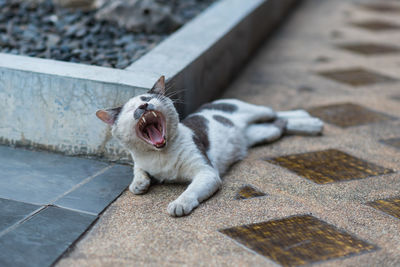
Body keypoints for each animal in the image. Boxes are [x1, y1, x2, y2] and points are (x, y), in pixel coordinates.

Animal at [97, 76, 324, 218]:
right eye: (130, 110)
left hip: (257, 111)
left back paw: (309, 120)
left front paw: (180, 203)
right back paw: (309, 124)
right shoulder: (140, 160)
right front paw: (139, 184)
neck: (160, 155)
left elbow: (190, 190)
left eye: (147, 98)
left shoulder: (206, 172)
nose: (143, 106)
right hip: (263, 133)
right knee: (279, 125)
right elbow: (138, 171)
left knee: (277, 113)